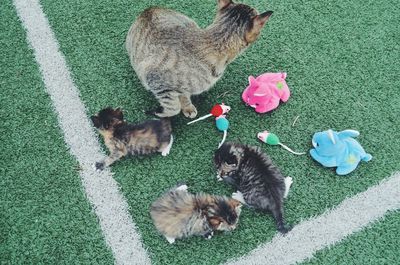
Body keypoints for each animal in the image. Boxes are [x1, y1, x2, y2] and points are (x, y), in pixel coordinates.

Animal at [126, 0, 274, 117]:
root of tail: (148, 9)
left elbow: (183, 96)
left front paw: (187, 107)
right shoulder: (155, 79)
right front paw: (159, 112)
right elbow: (173, 107)